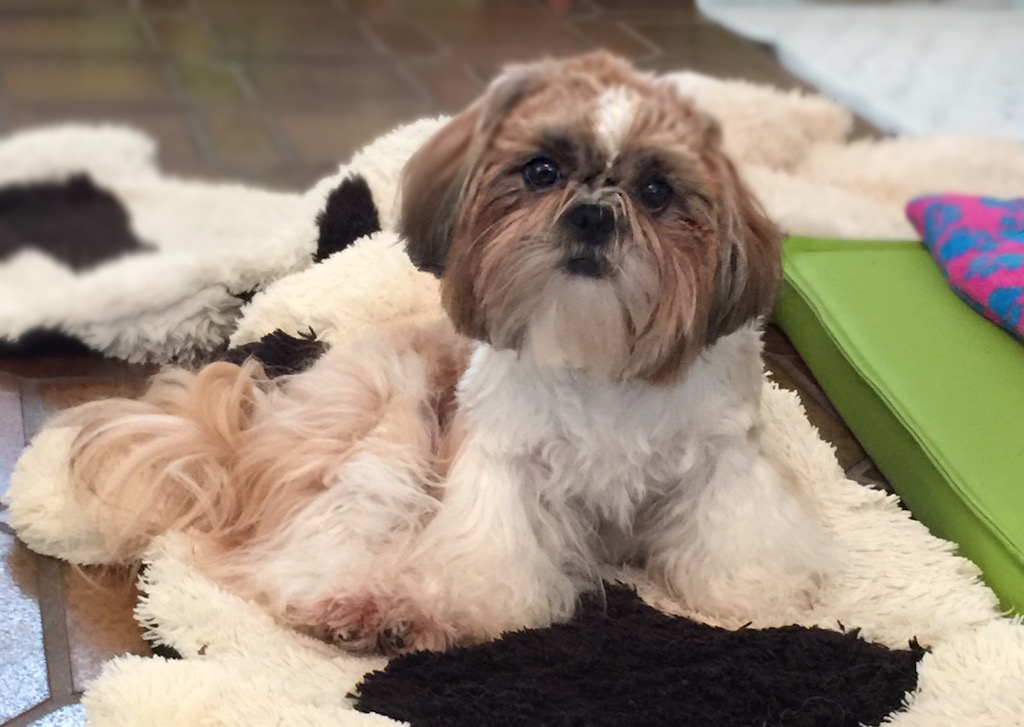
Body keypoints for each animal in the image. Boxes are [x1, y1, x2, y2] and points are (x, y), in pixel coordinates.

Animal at [60, 52, 832, 654]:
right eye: (541, 171)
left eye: (656, 190)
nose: (592, 214)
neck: (599, 359)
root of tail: (242, 440)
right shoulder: (501, 467)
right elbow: (488, 558)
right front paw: (458, 609)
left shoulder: (724, 459)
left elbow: (734, 536)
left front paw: (752, 595)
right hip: (390, 416)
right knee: (306, 545)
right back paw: (354, 603)